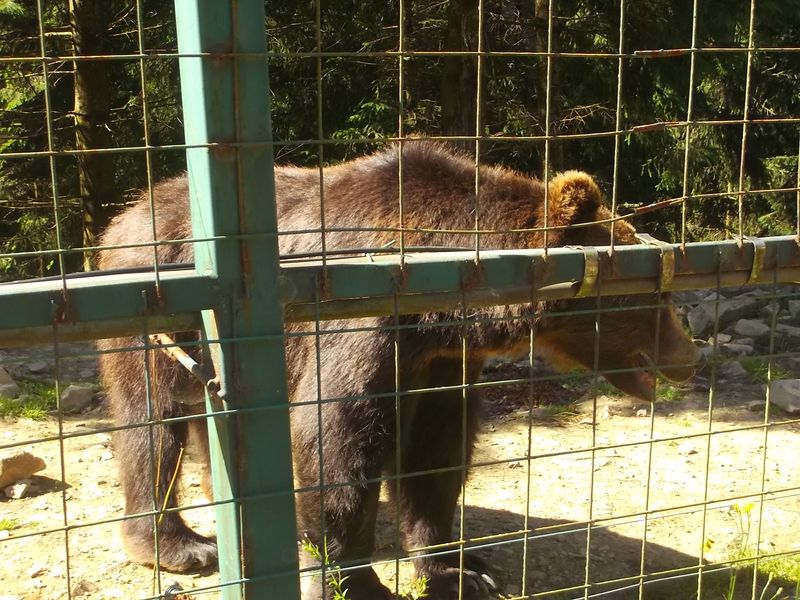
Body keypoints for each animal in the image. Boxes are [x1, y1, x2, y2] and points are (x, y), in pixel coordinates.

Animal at [97, 141, 702, 599]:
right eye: (655, 293)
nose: (688, 357)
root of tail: (124, 214)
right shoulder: (360, 324)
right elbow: (336, 443)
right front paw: (358, 582)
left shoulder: (439, 365)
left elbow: (435, 454)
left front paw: (463, 570)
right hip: (155, 316)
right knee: (152, 423)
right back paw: (180, 545)